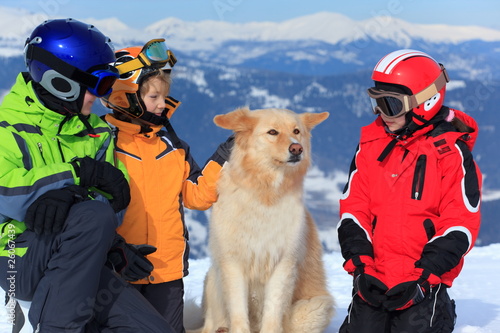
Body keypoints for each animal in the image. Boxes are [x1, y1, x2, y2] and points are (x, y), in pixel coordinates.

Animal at [188, 107, 336, 330]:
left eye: (296, 131)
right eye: (272, 132)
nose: (297, 148)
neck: (264, 193)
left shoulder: (283, 264)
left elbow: (272, 312)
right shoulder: (232, 263)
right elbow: (238, 312)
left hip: (315, 306)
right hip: (213, 277)